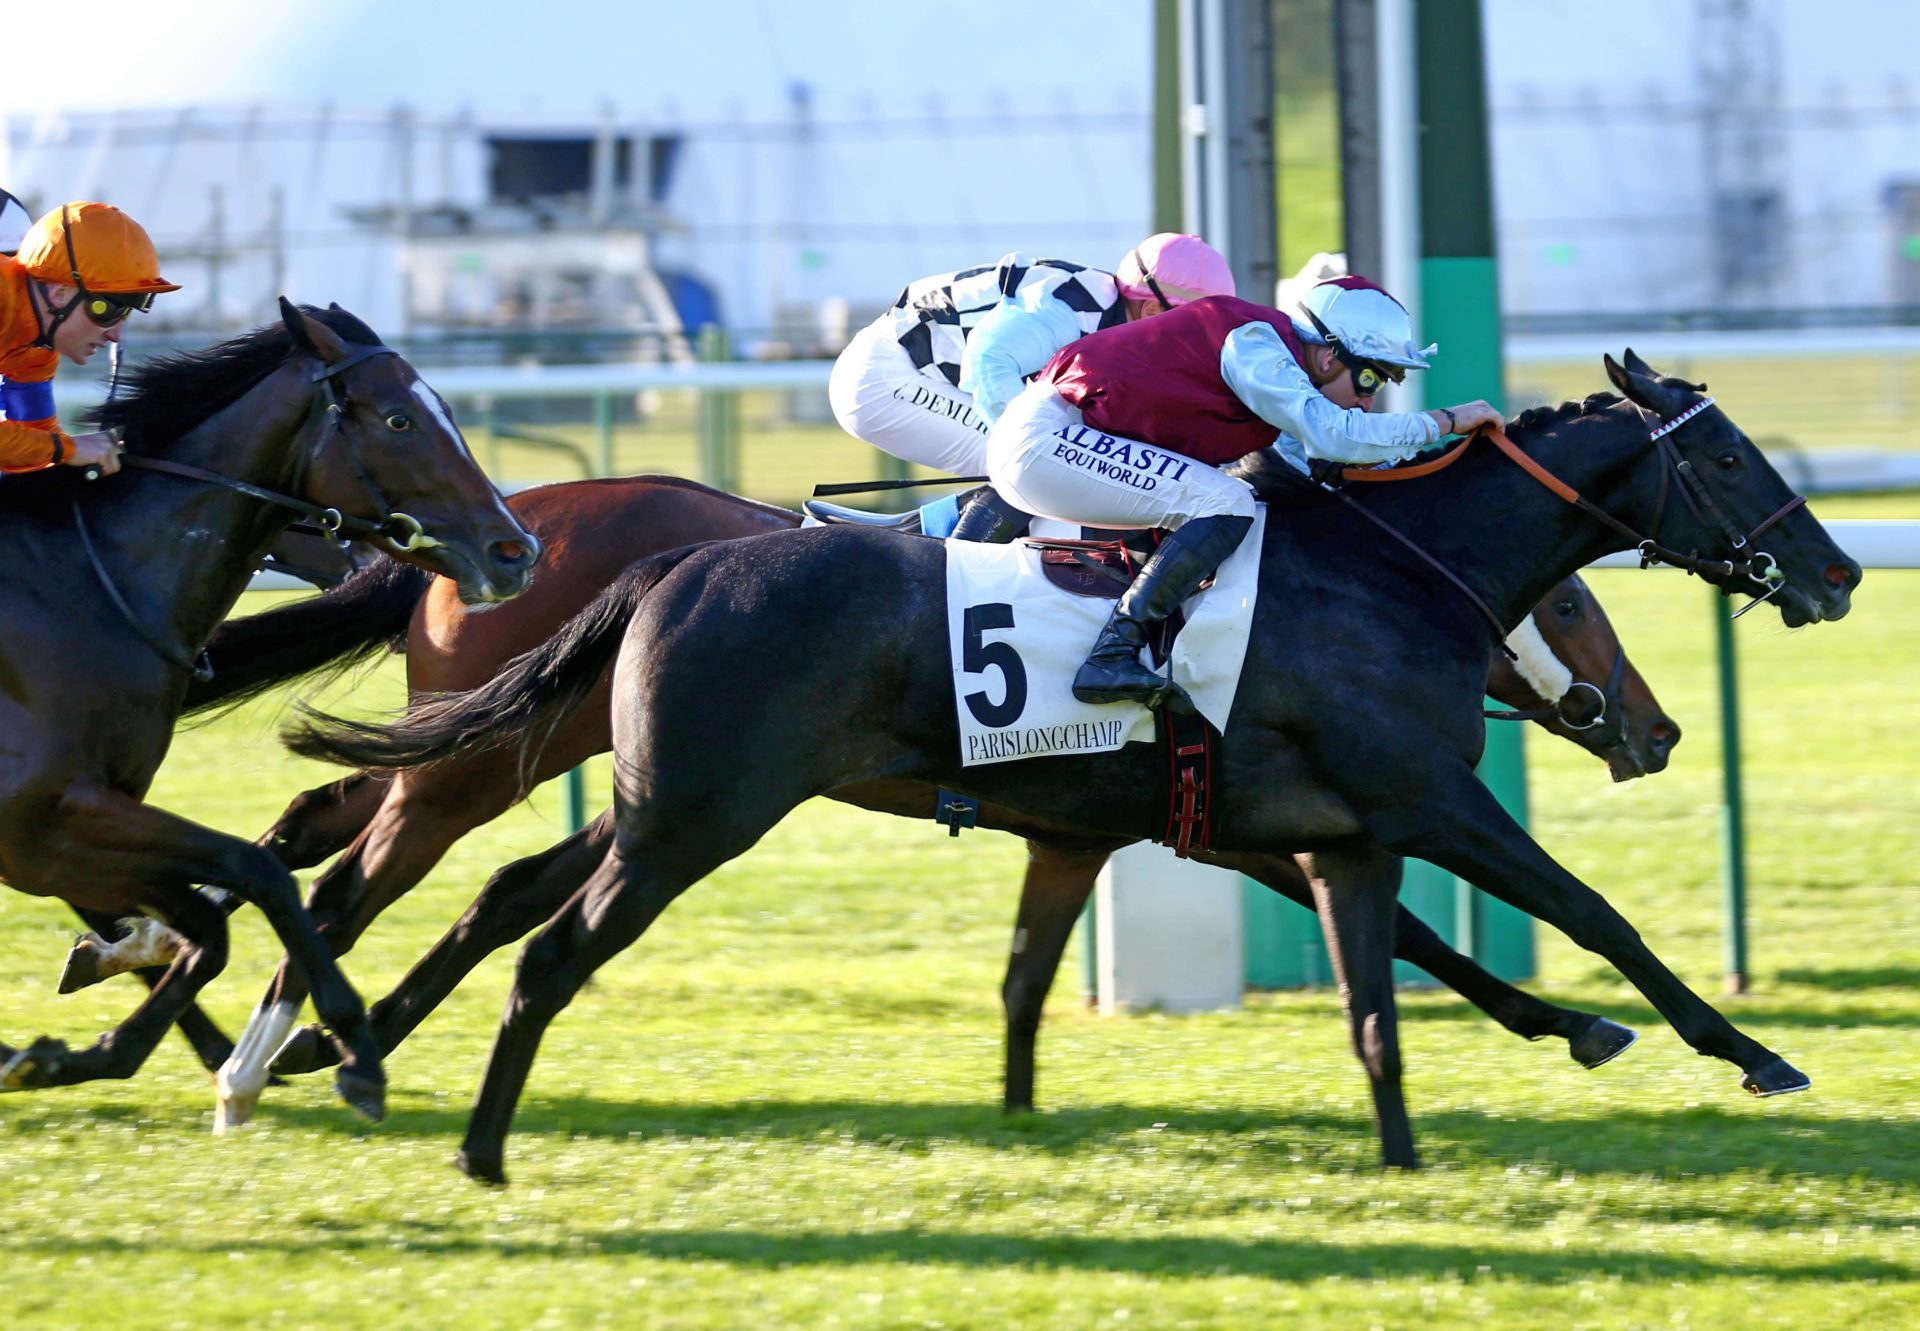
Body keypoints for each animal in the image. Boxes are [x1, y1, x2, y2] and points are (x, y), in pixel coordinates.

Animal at [0, 301, 541, 1121]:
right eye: (399, 419)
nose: (517, 551)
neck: (86, 583)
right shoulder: (39, 817)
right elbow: (255, 873)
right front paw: (353, 1048)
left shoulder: (72, 822)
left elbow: (211, 916)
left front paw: (77, 1051)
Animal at [78, 472, 1666, 1129]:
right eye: (1571, 600)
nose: (1651, 729)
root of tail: (496, 524)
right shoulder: (1233, 820)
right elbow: (1429, 933)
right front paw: (1581, 1019)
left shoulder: (1122, 823)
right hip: (501, 758)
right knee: (358, 867)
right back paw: (253, 1041)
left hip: (561, 758)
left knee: (389, 857)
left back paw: (196, 1007)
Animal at [291, 355, 1850, 1183]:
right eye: (1724, 453)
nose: (1836, 572)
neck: (1389, 575)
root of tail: (677, 563)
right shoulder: (1415, 802)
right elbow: (1591, 915)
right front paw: (1744, 1049)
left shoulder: (1316, 829)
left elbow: (1370, 994)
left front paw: (1417, 1140)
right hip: (683, 814)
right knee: (518, 930)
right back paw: (448, 1126)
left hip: (658, 800)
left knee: (495, 895)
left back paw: (340, 1056)